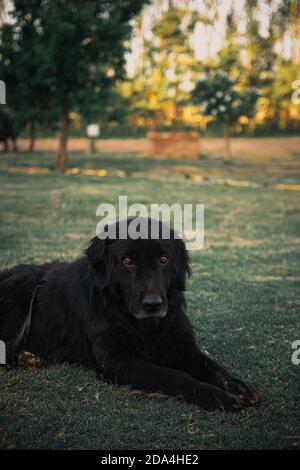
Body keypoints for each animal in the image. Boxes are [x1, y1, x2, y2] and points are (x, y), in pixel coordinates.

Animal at [0, 218, 260, 410]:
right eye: (127, 261)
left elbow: (212, 367)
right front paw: (215, 396)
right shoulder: (118, 360)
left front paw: (237, 387)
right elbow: (175, 376)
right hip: (23, 290)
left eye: (163, 259)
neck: (143, 327)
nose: (153, 305)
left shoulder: (181, 347)